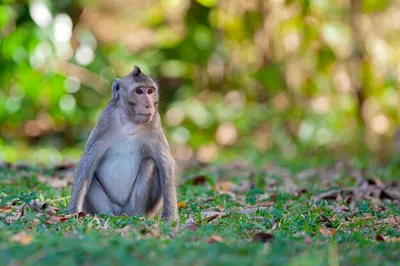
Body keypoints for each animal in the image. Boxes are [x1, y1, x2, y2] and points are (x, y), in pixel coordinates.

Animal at [68, 66, 177, 220]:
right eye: (139, 91)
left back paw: (138, 216)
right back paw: (108, 216)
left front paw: (170, 217)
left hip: (134, 207)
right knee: (90, 174)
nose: (149, 105)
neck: (129, 122)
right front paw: (73, 212)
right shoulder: (104, 120)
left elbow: (166, 163)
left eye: (150, 91)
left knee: (148, 163)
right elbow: (87, 163)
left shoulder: (155, 122)